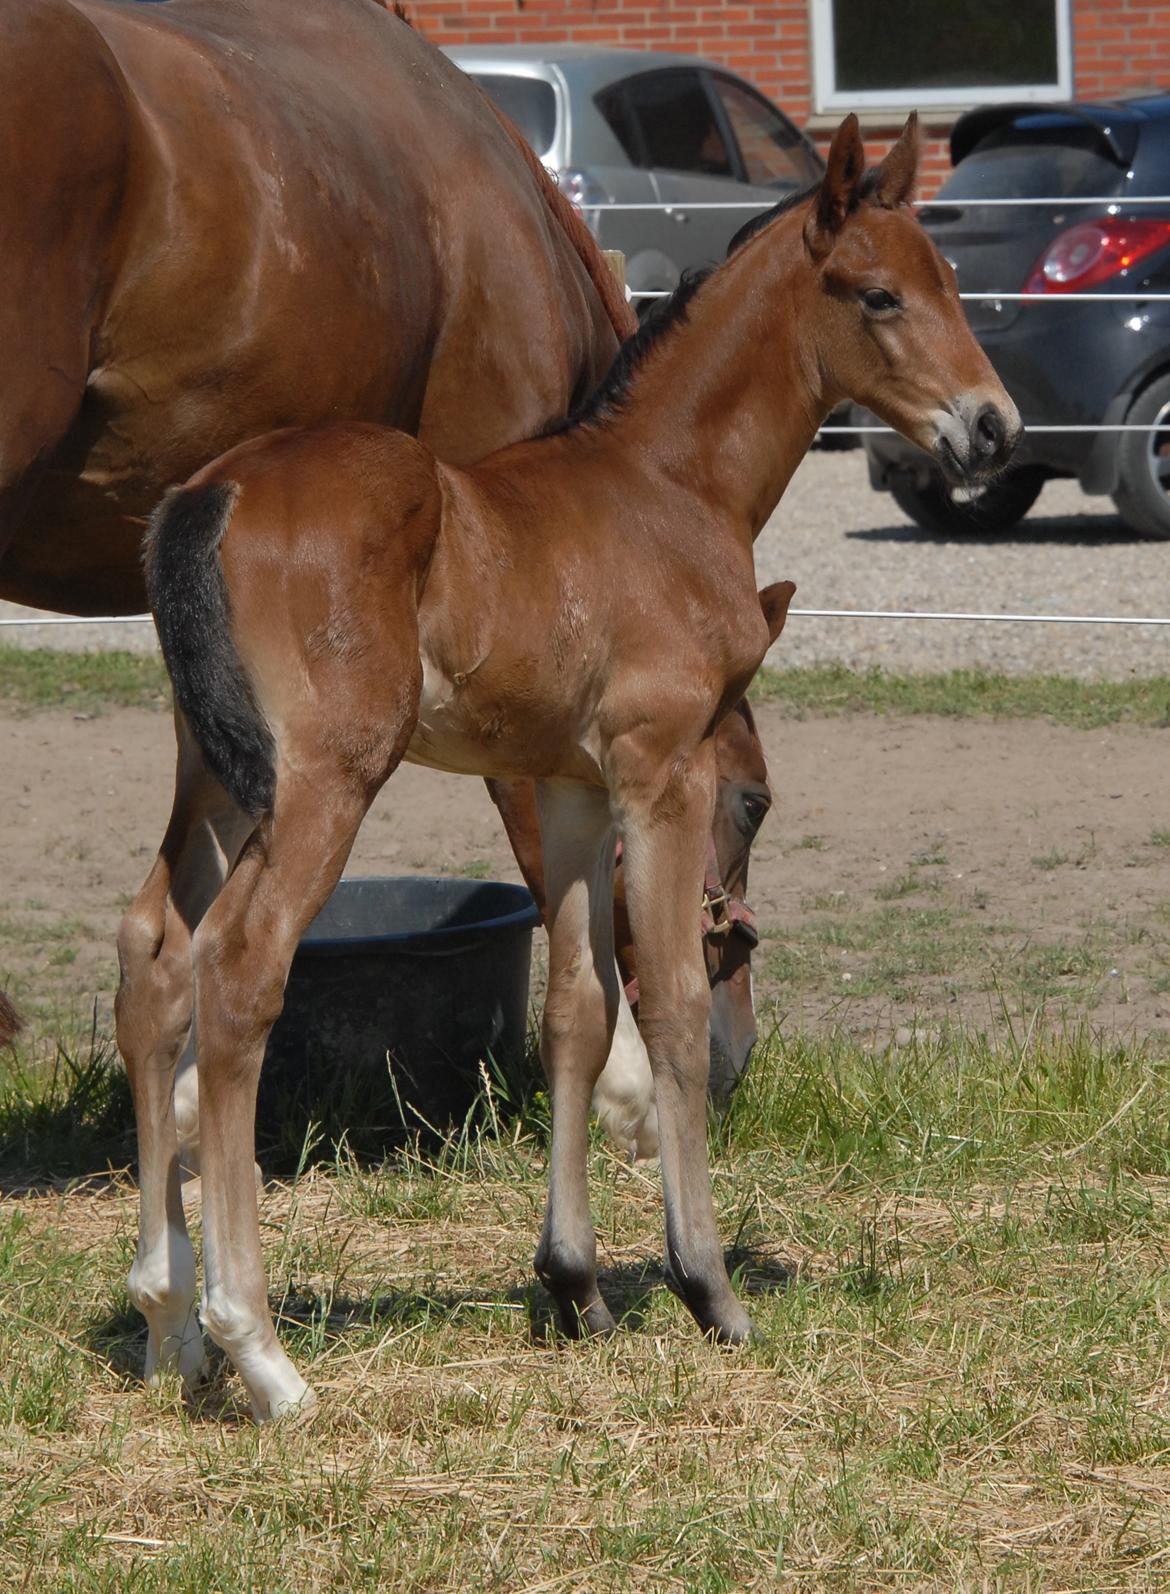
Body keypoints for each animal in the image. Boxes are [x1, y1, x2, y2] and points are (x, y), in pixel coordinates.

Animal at [114, 115, 1020, 1421]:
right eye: (880, 294)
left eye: (950, 280)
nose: (994, 427)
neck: (665, 487)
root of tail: (214, 490)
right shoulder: (663, 772)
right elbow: (675, 1004)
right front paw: (707, 1286)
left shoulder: (575, 789)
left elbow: (577, 1015)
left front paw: (577, 1283)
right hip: (325, 780)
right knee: (238, 972)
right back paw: (261, 1351)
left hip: (218, 777)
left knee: (153, 954)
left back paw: (165, 1319)